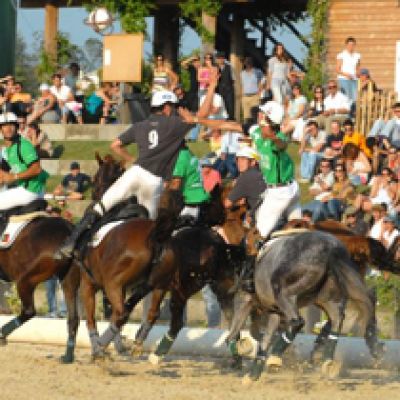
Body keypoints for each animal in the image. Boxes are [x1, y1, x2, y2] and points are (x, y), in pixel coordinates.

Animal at [0, 211, 80, 364]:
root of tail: (68, 229)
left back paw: (1, 334)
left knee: (29, 310)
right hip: (68, 280)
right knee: (73, 318)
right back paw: (68, 356)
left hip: (26, 279)